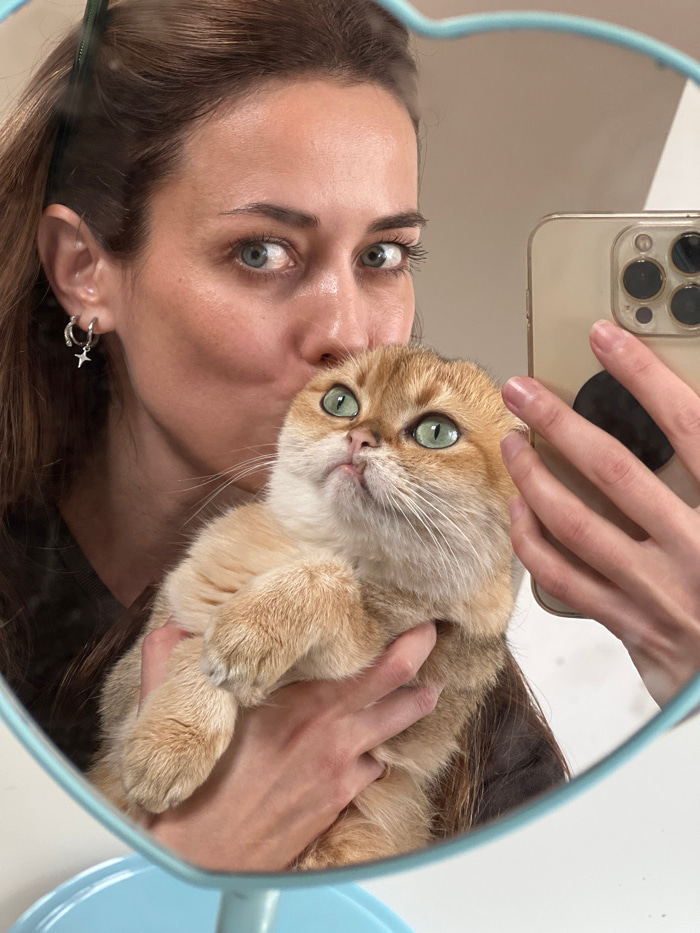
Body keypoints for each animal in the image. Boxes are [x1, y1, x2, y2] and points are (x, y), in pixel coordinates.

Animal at [89, 344, 524, 869]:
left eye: (436, 432)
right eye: (340, 402)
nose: (359, 437)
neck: (325, 544)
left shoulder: (391, 640)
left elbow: (325, 580)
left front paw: (248, 634)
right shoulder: (128, 681)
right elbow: (192, 649)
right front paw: (172, 743)